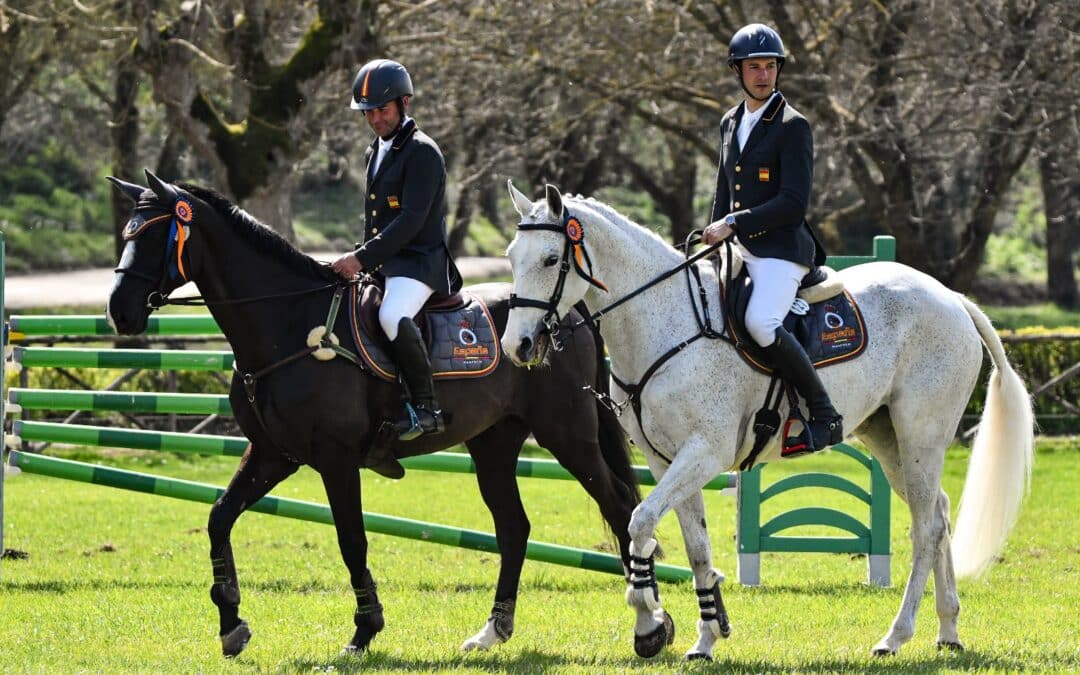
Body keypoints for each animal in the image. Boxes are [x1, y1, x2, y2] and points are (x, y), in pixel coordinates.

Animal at [104, 169, 635, 656]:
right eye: (127, 236)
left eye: (152, 238)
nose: (119, 313)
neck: (286, 323)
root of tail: (566, 312)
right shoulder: (272, 454)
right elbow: (219, 518)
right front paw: (231, 623)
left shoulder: (335, 459)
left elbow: (351, 540)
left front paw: (365, 629)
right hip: (494, 444)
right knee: (514, 528)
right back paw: (494, 629)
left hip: (567, 434)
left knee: (621, 505)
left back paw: (644, 622)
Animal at [501, 181, 1032, 660]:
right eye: (510, 257)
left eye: (550, 260)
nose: (516, 346)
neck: (664, 324)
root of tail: (949, 297)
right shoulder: (664, 459)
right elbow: (695, 546)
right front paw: (706, 635)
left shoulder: (705, 453)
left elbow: (640, 521)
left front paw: (648, 620)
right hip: (887, 437)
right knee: (938, 514)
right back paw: (948, 630)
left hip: (920, 433)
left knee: (925, 528)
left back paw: (896, 636)